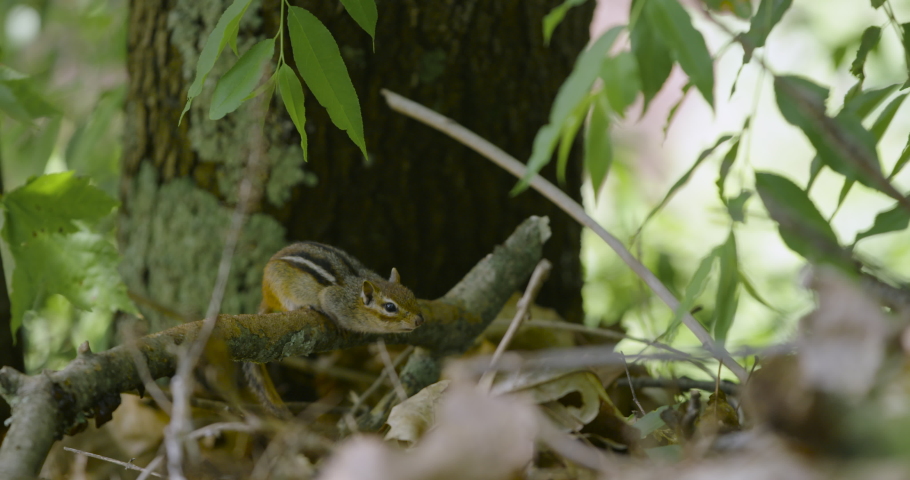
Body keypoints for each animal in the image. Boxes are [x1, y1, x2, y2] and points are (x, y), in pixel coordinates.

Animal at [244, 241, 425, 417]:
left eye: (411, 295)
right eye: (390, 307)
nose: (419, 320)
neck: (355, 298)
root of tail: (266, 295)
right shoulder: (330, 298)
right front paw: (339, 325)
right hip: (280, 288)